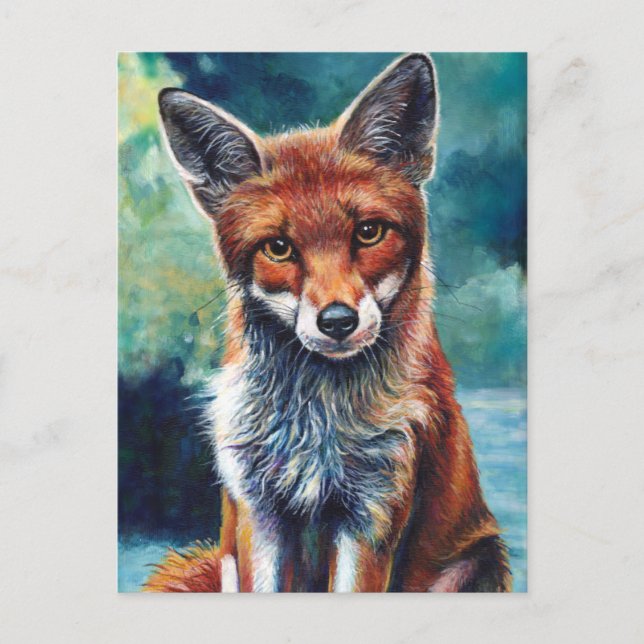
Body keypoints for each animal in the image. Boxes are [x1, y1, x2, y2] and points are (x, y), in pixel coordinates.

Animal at [145, 53, 511, 592]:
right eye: (278, 247)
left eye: (369, 232)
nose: (338, 321)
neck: (315, 422)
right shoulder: (257, 510)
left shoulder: (373, 513)